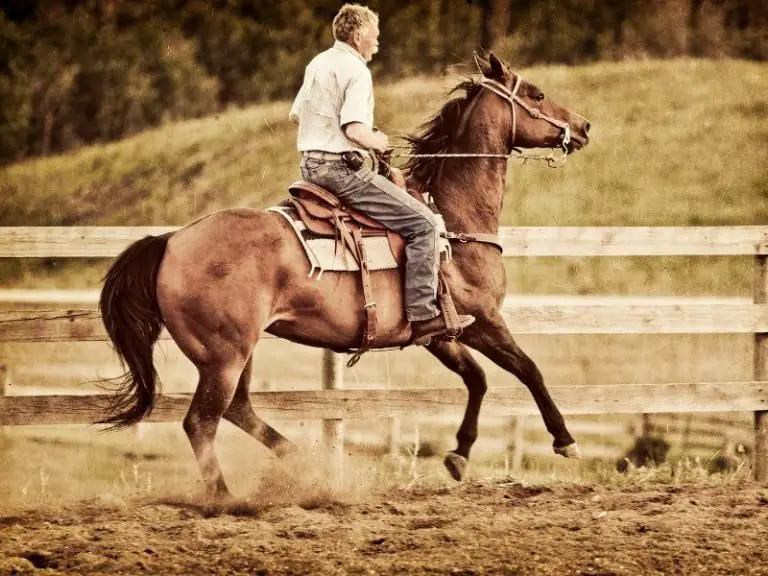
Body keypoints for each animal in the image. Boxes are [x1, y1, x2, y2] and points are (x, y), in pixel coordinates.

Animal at [99, 52, 590, 500]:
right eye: (537, 94)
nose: (583, 126)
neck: (451, 217)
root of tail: (172, 240)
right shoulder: (484, 319)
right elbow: (528, 369)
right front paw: (565, 440)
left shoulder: (441, 334)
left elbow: (478, 380)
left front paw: (458, 455)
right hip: (224, 355)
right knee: (202, 421)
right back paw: (226, 499)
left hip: (235, 351)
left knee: (237, 409)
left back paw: (302, 463)